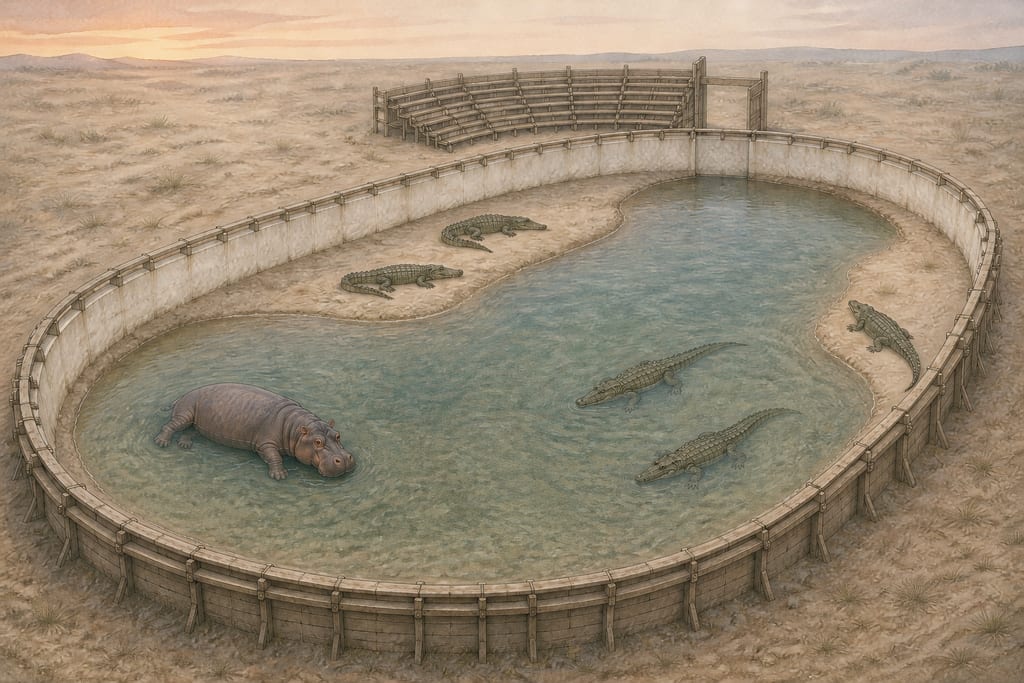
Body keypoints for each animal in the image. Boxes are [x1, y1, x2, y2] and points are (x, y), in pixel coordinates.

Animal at [154, 383, 355, 480]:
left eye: (337, 435)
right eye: (318, 442)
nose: (344, 459)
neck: (296, 428)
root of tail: (182, 395)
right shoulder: (265, 444)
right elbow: (274, 457)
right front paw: (279, 476)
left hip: (201, 424)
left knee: (191, 432)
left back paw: (185, 444)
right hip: (186, 413)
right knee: (170, 426)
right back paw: (162, 442)